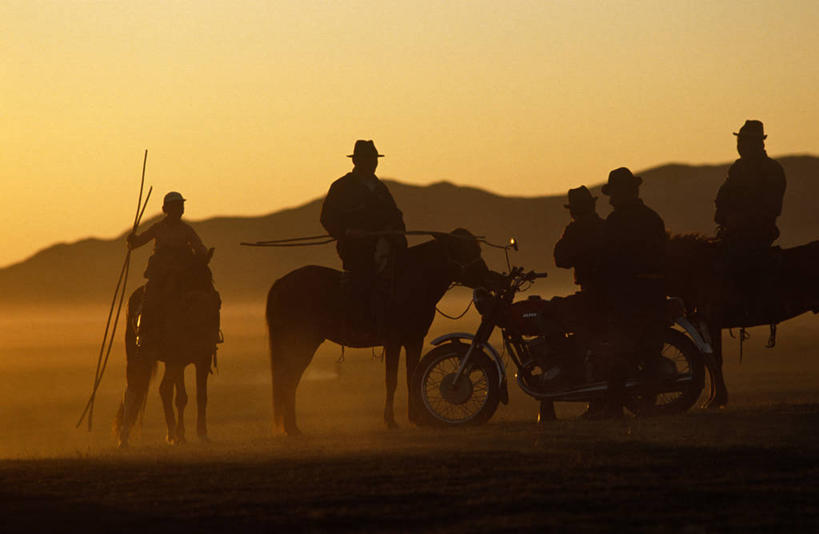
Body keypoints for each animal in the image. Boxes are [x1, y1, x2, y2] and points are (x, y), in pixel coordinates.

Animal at [113, 251, 221, 448]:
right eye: (188, 276)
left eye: (209, 277)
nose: (201, 301)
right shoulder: (178, 359)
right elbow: (179, 395)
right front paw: (182, 434)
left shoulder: (200, 359)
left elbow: (194, 396)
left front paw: (197, 434)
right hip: (137, 356)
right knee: (136, 388)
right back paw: (127, 437)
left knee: (157, 390)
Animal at [268, 228, 500, 438]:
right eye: (461, 249)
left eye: (477, 248)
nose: (490, 279)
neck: (413, 283)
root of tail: (281, 282)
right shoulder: (393, 342)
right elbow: (392, 379)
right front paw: (391, 421)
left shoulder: (415, 340)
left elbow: (411, 377)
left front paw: (416, 418)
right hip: (302, 343)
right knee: (288, 379)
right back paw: (292, 428)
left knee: (289, 379)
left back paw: (292, 427)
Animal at [668, 236, 819, 410]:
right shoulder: (701, 323)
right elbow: (709, 359)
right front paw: (713, 398)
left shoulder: (712, 322)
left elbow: (716, 359)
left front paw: (717, 399)